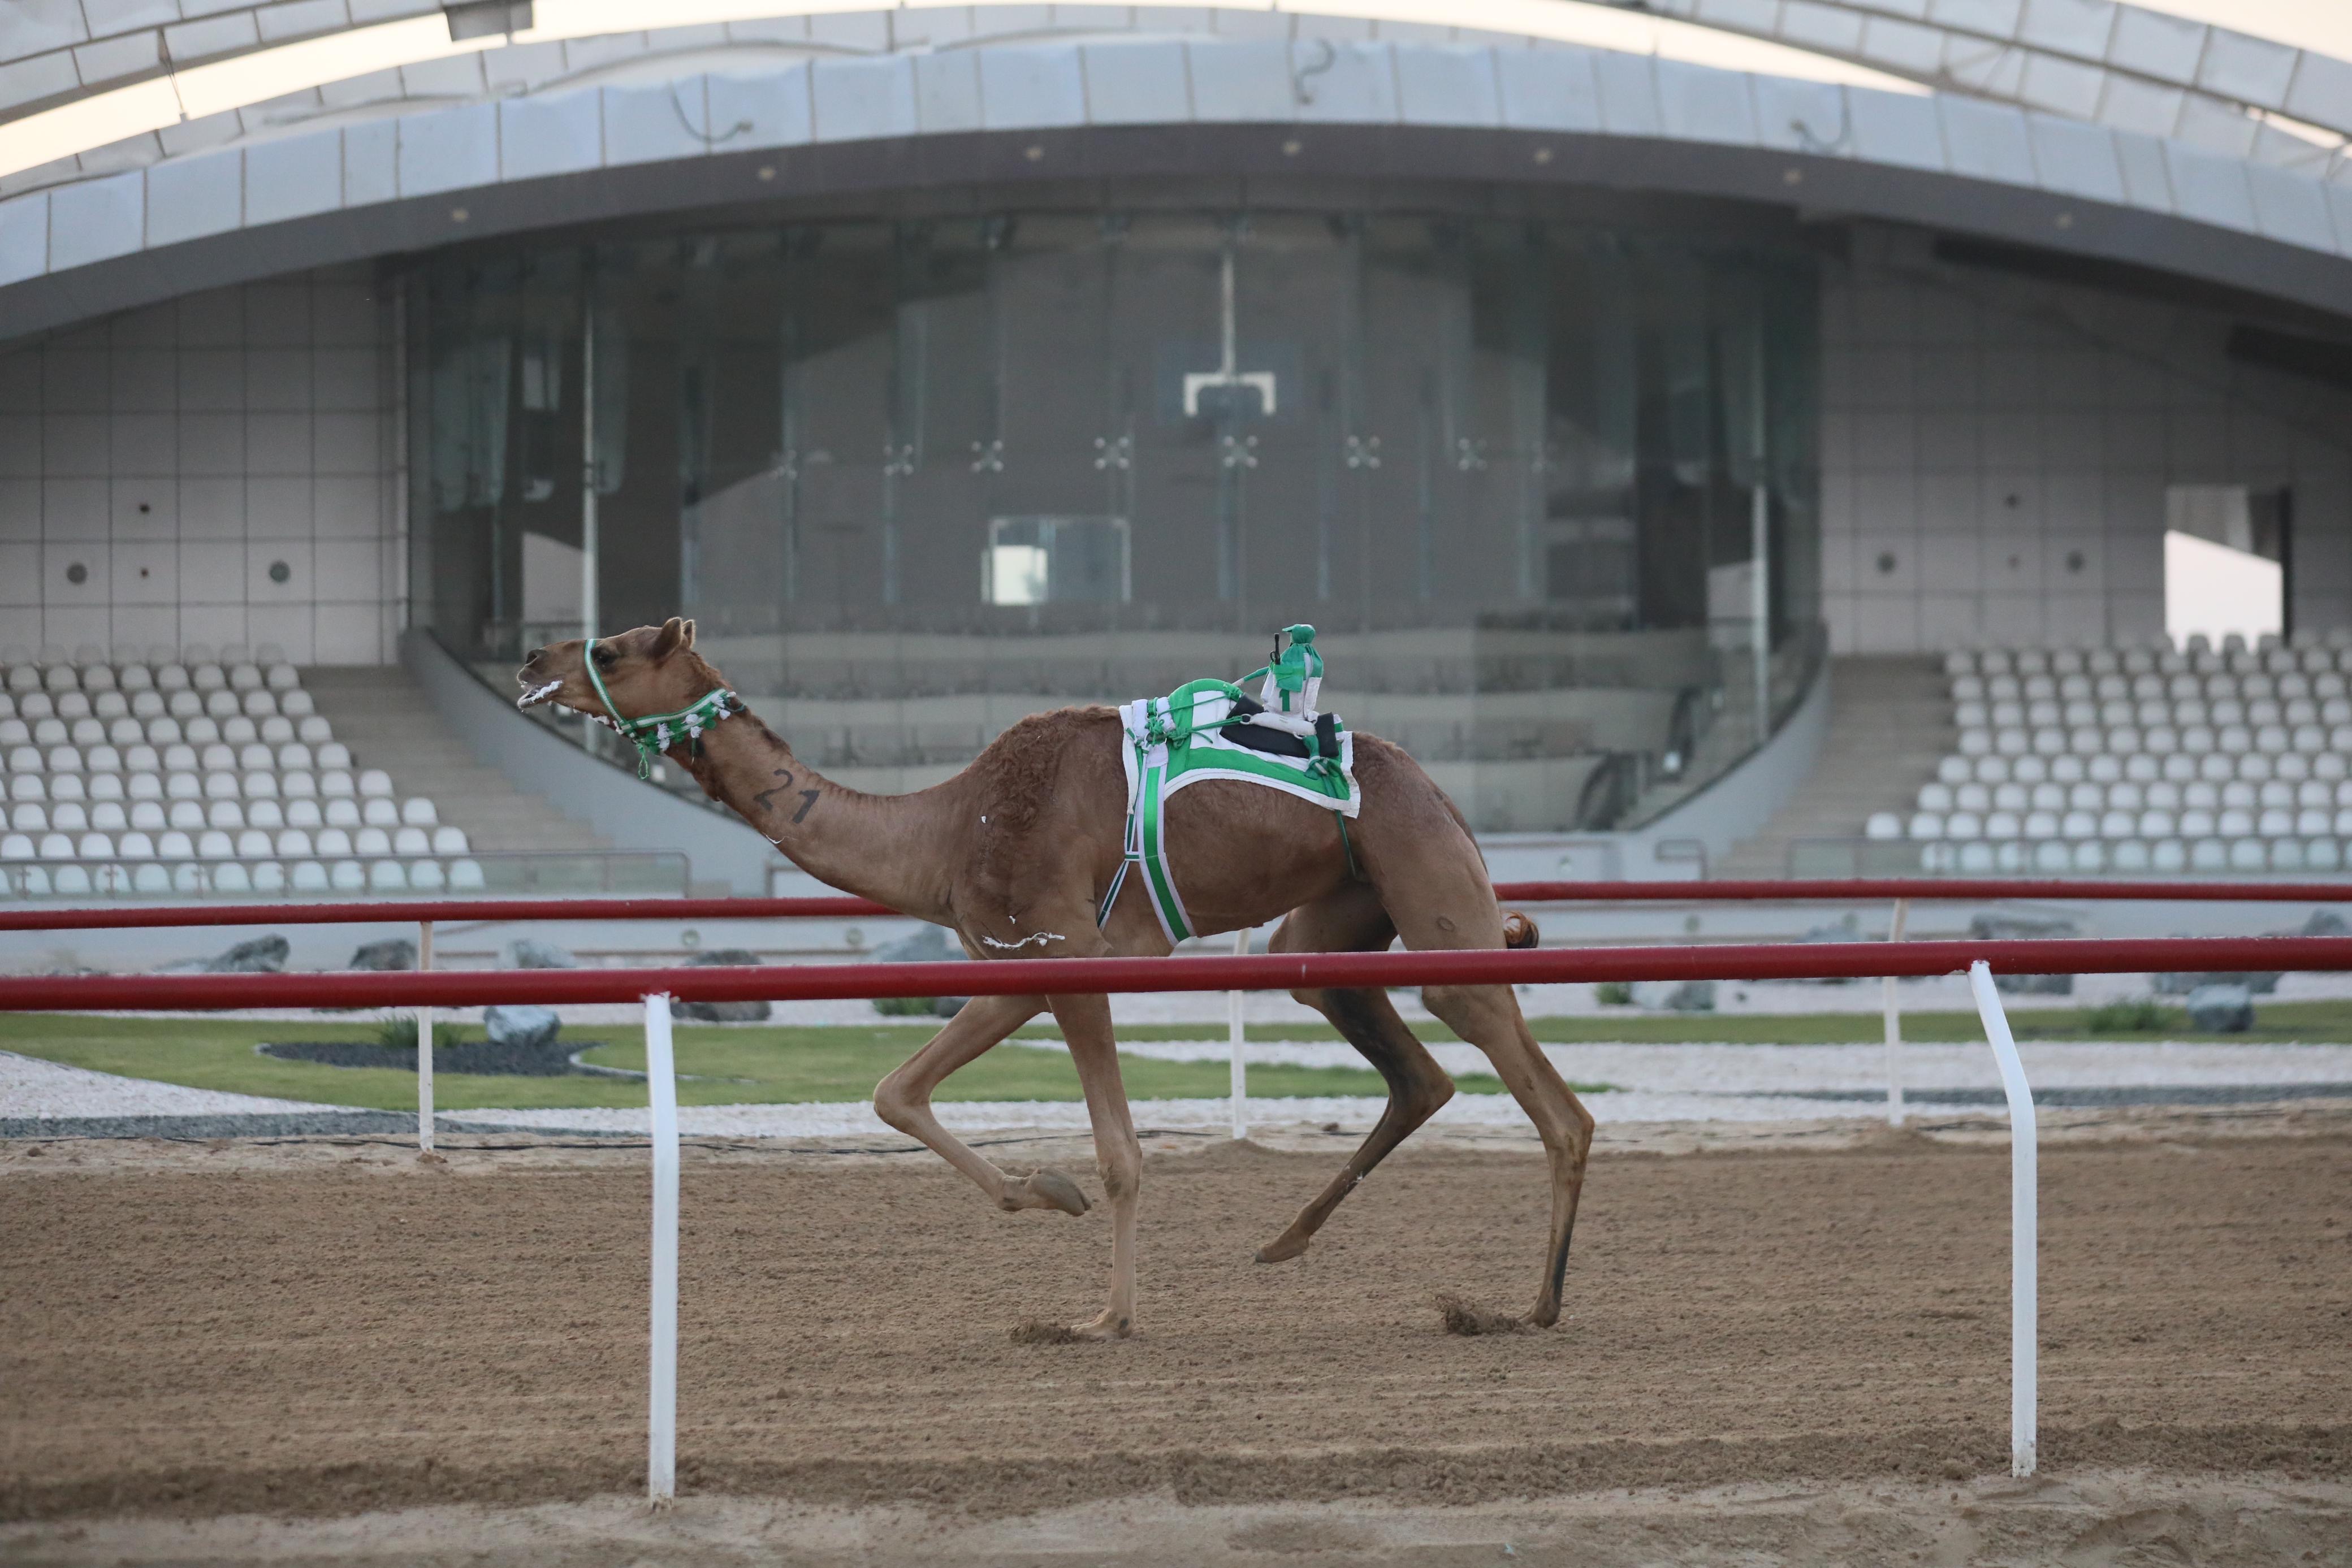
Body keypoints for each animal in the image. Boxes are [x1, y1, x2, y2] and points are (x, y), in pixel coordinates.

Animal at [505, 620, 1590, 1344]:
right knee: (1403, 1058)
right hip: (1339, 919)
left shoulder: (1068, 959)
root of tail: (1442, 793)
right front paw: (1047, 1191)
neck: (945, 829)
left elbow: (1121, 1154)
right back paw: (1287, 1240)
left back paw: (1531, 1304)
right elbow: (896, 1091)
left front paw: (1105, 1313)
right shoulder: (1013, 966)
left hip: (1435, 891)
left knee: (1546, 1097)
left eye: (614, 648)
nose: (529, 659)